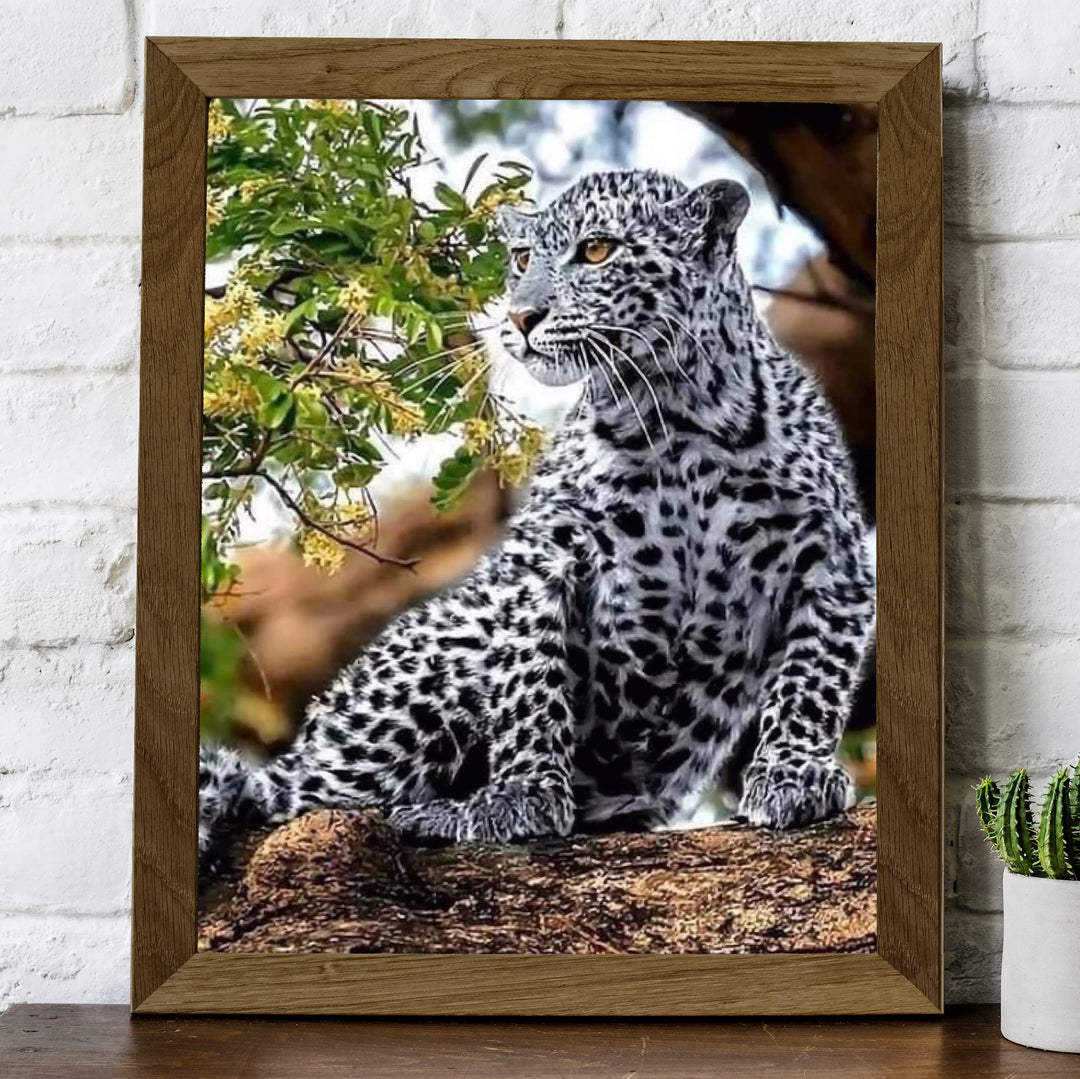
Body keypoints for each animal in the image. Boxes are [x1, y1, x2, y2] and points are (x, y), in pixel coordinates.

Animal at [198, 168, 876, 868]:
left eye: (598, 250)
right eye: (523, 259)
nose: (522, 317)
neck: (676, 415)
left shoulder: (832, 558)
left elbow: (814, 675)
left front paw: (795, 774)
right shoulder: (544, 557)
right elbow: (530, 677)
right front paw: (521, 795)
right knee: (286, 798)